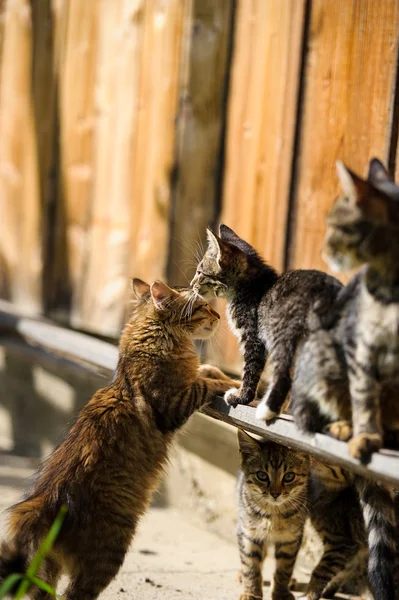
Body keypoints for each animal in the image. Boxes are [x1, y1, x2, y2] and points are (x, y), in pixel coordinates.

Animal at [0, 278, 241, 600]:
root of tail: (41, 501)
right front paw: (232, 384)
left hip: (48, 569)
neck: (154, 340)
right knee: (74, 595)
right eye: (203, 306)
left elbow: (207, 369)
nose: (217, 316)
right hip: (109, 550)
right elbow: (205, 382)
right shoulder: (173, 402)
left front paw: (235, 381)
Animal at [192, 224, 342, 422]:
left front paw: (242, 397)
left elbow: (250, 369)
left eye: (200, 272)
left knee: (284, 372)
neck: (248, 285)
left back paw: (268, 410)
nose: (192, 283)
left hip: (283, 333)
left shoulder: (253, 336)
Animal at [238, 432, 372, 600]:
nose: (275, 494)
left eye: (289, 476)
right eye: (262, 475)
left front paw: (281, 592)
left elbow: (284, 569)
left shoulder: (291, 539)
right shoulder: (249, 534)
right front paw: (251, 592)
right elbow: (251, 565)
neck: (272, 514)